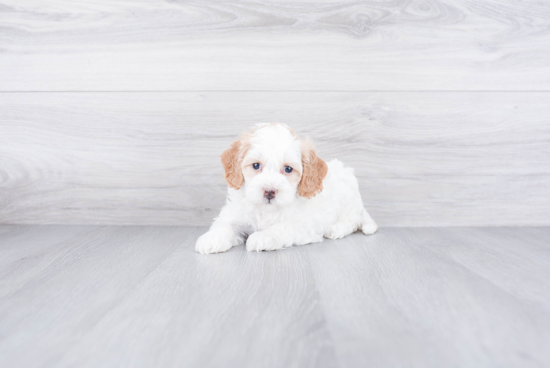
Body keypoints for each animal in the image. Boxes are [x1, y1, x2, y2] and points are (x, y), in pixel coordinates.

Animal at [195, 123, 380, 253]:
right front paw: (210, 239)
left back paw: (336, 229)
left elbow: (281, 227)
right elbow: (223, 225)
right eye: (256, 165)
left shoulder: (302, 224)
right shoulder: (234, 214)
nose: (269, 191)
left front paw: (262, 237)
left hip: (348, 201)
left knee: (352, 222)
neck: (266, 210)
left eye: (288, 169)